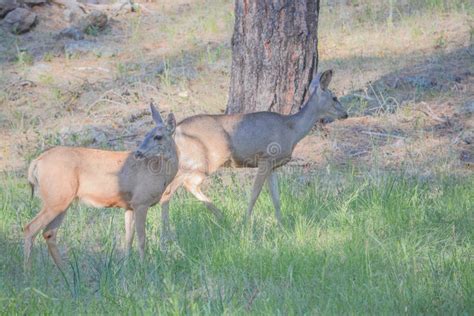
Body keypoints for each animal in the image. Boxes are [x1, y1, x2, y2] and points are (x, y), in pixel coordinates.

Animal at [23, 103, 178, 266]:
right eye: (147, 134)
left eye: (158, 136)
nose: (138, 152)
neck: (159, 171)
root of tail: (36, 162)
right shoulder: (141, 201)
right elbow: (141, 239)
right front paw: (143, 266)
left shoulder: (129, 205)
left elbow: (128, 239)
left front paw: (127, 266)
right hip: (56, 198)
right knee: (30, 228)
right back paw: (28, 270)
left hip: (61, 199)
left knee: (49, 232)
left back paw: (64, 269)